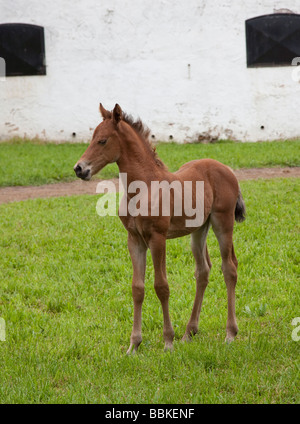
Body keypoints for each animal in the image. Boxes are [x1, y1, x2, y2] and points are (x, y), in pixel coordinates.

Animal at [74, 104, 245, 352]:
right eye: (92, 138)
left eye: (103, 141)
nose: (79, 169)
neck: (144, 187)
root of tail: (227, 169)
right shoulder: (135, 239)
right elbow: (137, 288)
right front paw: (134, 345)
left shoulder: (158, 238)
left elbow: (161, 286)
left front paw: (167, 342)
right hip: (198, 230)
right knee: (203, 271)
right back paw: (189, 332)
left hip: (223, 224)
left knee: (229, 268)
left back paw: (230, 333)